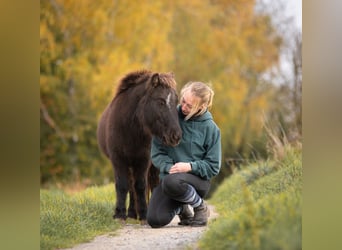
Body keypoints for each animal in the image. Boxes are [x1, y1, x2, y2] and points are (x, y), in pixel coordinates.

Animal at [96, 70, 182, 221]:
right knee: (130, 186)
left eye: (176, 101)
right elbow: (122, 185)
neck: (130, 129)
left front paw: (143, 214)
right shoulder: (118, 160)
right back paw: (131, 213)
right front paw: (119, 214)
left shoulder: (143, 160)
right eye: (161, 102)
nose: (175, 136)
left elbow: (140, 186)